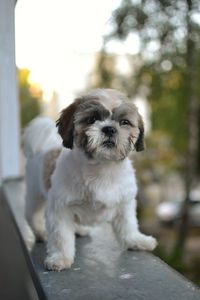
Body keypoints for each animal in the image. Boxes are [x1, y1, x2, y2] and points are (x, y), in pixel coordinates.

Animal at [23, 88, 157, 270]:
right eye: (92, 119)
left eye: (124, 122)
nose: (109, 129)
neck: (101, 168)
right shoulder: (59, 207)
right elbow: (60, 236)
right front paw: (60, 257)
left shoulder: (125, 202)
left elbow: (128, 225)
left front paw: (136, 240)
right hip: (34, 194)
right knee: (32, 215)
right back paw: (40, 232)